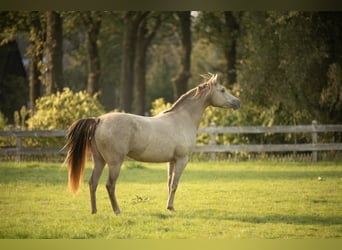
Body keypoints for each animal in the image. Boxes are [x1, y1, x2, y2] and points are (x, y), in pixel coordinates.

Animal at [65, 73, 240, 215]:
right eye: (222, 90)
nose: (237, 102)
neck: (183, 118)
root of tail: (99, 120)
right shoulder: (182, 160)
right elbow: (175, 184)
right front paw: (171, 208)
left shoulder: (172, 161)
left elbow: (169, 184)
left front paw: (169, 207)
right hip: (114, 163)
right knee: (110, 185)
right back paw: (117, 211)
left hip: (99, 161)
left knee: (92, 183)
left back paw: (94, 211)